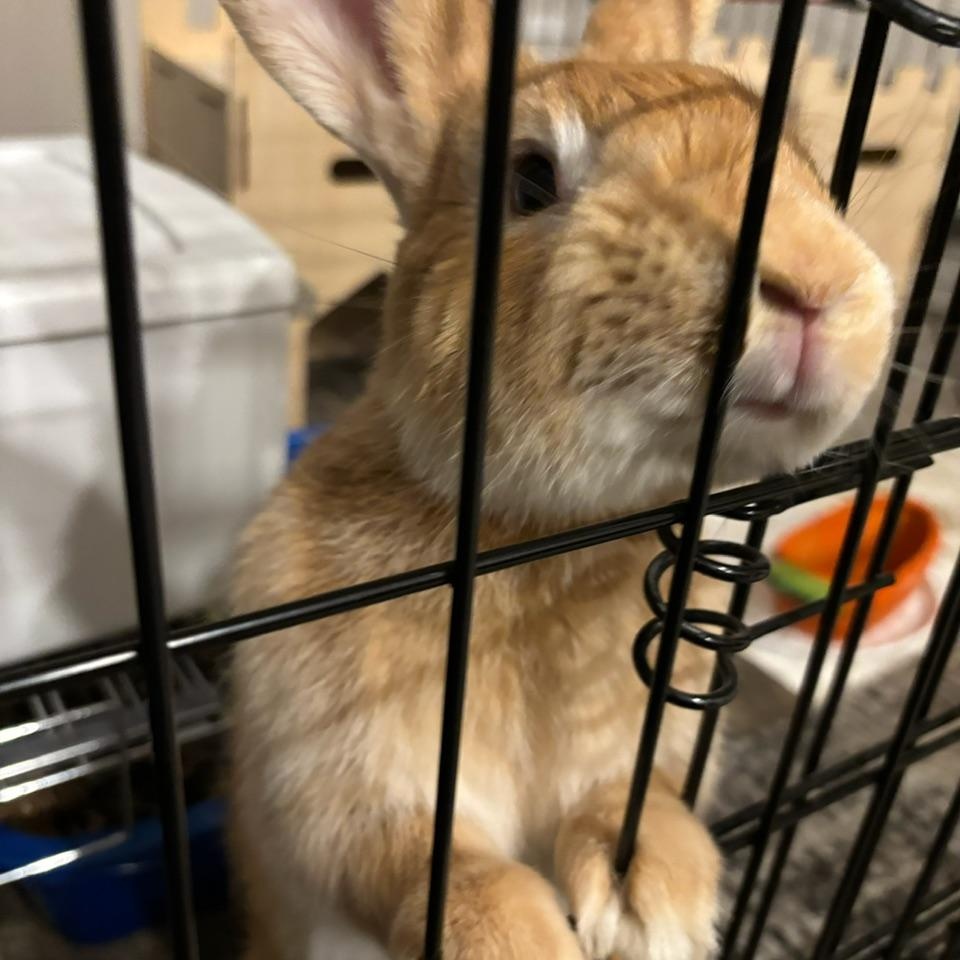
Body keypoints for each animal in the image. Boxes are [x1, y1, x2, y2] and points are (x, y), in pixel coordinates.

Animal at [220, 0, 895, 957]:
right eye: (531, 178)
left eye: (796, 157)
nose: (818, 286)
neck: (540, 537)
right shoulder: (340, 781)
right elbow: (429, 866)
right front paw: (523, 941)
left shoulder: (640, 746)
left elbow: (629, 799)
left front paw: (662, 904)